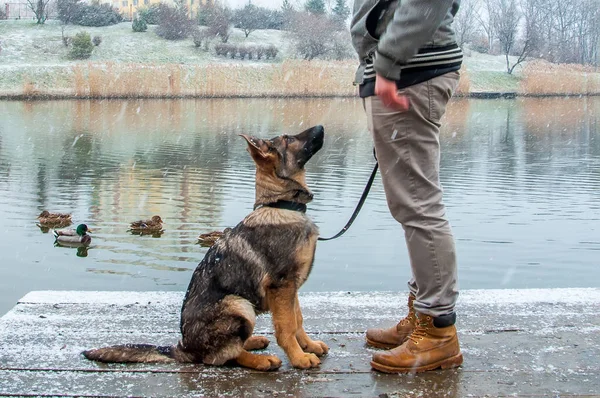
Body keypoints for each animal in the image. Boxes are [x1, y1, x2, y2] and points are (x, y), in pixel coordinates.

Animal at [82, 125, 328, 370]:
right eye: (288, 139)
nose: (320, 127)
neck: (281, 205)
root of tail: (184, 348)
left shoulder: (291, 288)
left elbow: (297, 320)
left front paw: (308, 346)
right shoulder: (282, 285)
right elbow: (287, 327)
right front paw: (299, 358)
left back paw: (253, 341)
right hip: (238, 304)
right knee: (221, 356)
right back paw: (260, 360)